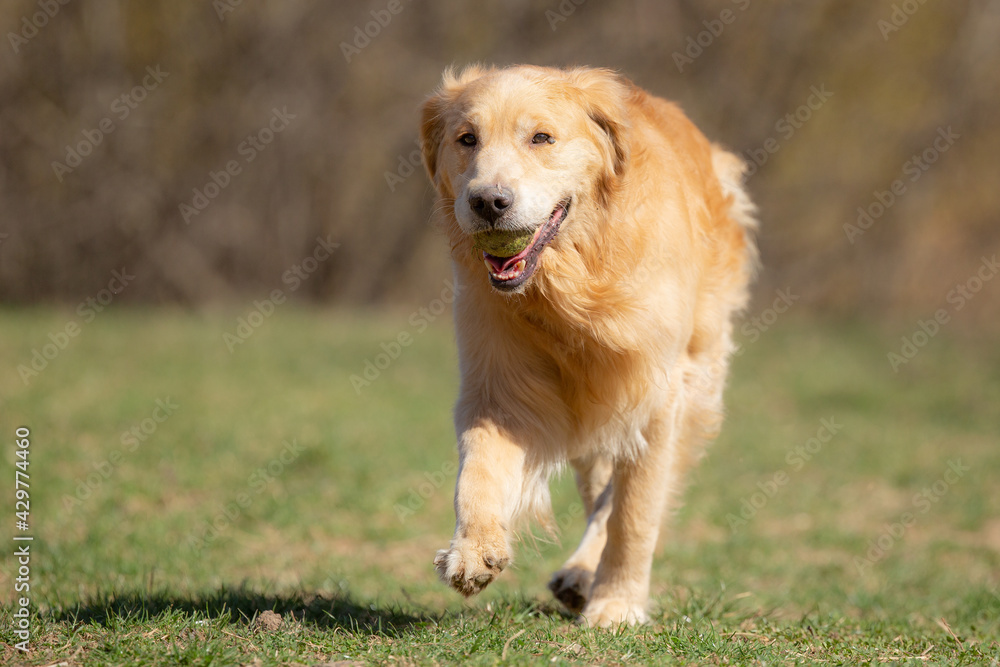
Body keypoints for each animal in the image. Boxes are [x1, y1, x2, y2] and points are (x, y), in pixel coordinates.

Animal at [418, 65, 752, 628]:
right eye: (467, 139)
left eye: (541, 138)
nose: (487, 202)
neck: (575, 281)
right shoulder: (501, 388)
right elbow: (478, 469)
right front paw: (473, 551)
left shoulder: (657, 396)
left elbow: (634, 515)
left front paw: (617, 605)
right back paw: (576, 574)